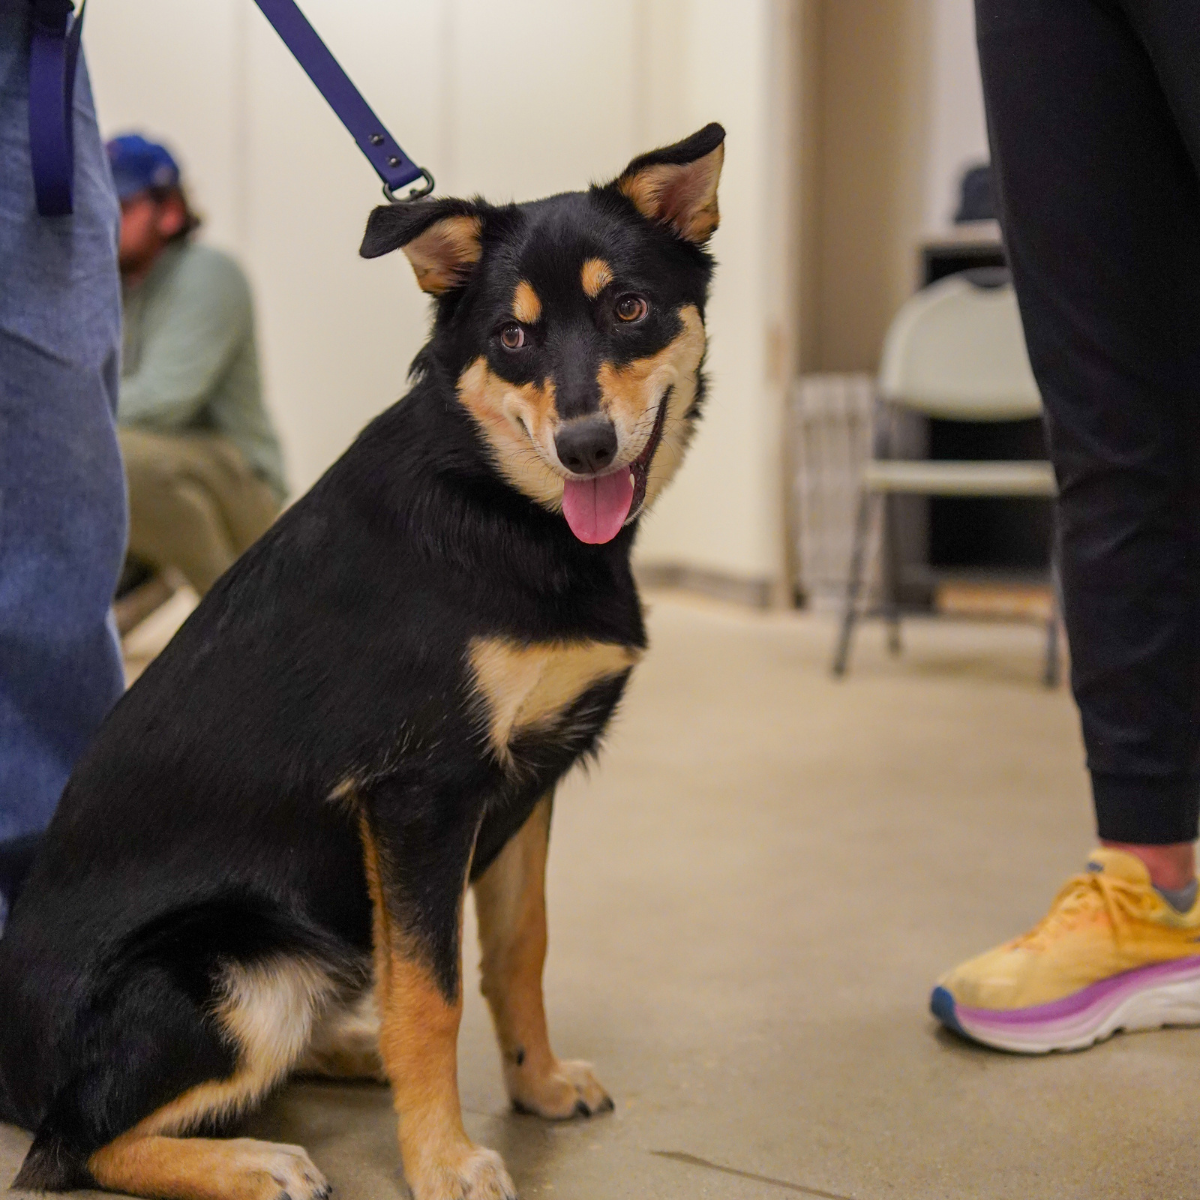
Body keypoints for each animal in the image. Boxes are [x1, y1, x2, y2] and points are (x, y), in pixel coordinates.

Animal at [0, 121, 720, 1200]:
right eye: (512, 339)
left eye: (629, 307)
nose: (587, 447)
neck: (498, 506)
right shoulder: (420, 796)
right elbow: (430, 997)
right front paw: (445, 1161)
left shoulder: (527, 782)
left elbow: (519, 952)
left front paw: (538, 1084)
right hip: (238, 971)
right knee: (71, 1147)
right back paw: (252, 1162)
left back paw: (343, 1051)